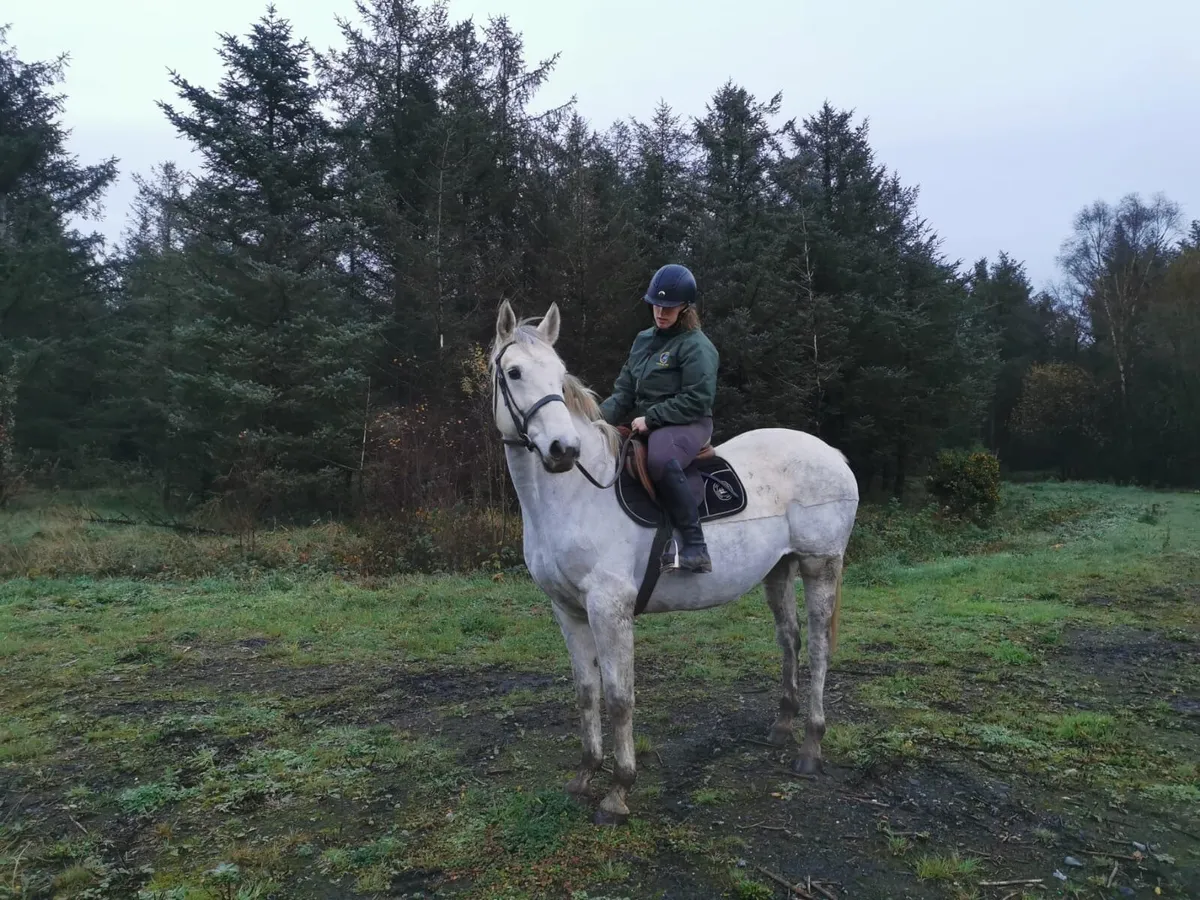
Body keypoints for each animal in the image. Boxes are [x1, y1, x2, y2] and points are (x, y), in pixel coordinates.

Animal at [488, 300, 859, 825]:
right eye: (515, 372)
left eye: (560, 376)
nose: (563, 450)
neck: (575, 494)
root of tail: (833, 455)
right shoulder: (568, 611)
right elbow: (586, 692)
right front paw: (584, 775)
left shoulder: (609, 609)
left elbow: (619, 698)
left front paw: (618, 791)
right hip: (778, 569)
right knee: (789, 640)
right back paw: (782, 726)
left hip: (819, 565)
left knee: (819, 648)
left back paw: (810, 747)